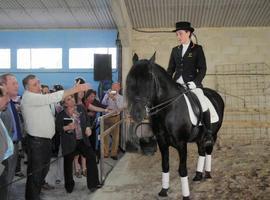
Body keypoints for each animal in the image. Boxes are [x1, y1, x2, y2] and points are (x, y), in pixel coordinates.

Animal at [125, 54, 225, 199]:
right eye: (130, 80)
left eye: (149, 80)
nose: (137, 114)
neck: (168, 108)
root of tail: (215, 94)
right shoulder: (161, 141)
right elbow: (165, 165)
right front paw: (164, 190)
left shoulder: (181, 143)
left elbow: (182, 169)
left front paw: (186, 196)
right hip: (199, 137)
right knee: (201, 152)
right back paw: (198, 175)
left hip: (213, 134)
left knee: (208, 150)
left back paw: (207, 174)